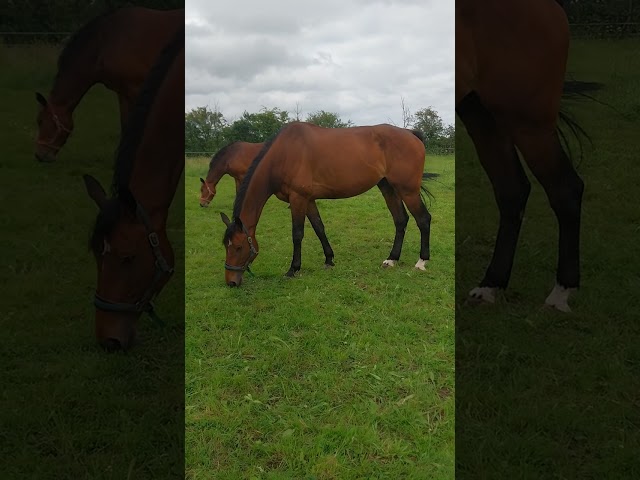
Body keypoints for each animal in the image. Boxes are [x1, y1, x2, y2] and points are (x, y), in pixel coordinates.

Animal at [220, 122, 431, 287]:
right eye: (225, 246)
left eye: (238, 247)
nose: (231, 282)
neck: (284, 154)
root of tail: (410, 134)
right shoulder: (308, 200)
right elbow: (319, 228)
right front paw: (329, 260)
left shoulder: (298, 199)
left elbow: (297, 234)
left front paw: (293, 269)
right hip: (388, 187)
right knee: (400, 220)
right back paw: (392, 259)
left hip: (407, 190)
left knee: (423, 219)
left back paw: (421, 262)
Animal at [456, 0, 584, 312]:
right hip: (481, 114)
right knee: (512, 191)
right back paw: (491, 284)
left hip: (527, 122)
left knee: (565, 189)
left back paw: (561, 292)